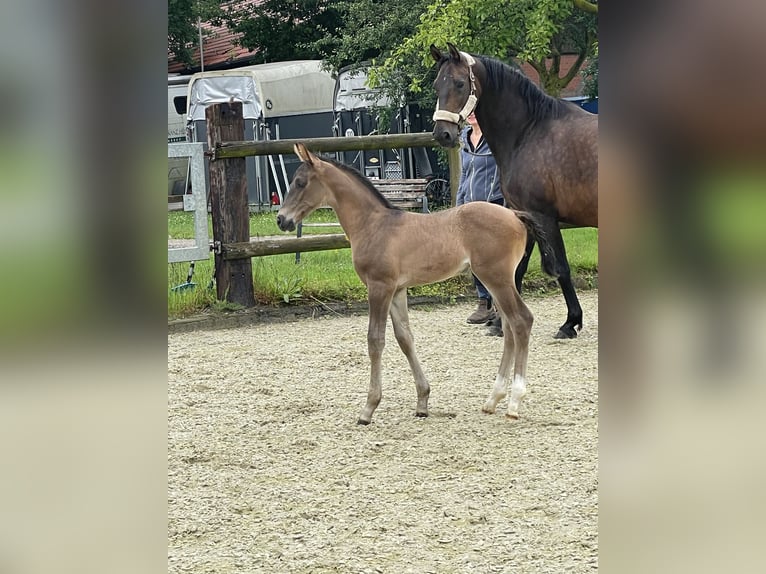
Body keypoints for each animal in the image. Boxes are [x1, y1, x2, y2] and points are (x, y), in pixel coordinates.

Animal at [280, 142, 556, 426]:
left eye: (300, 182)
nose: (281, 220)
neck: (374, 224)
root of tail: (515, 214)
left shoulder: (379, 287)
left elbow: (375, 340)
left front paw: (368, 408)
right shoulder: (397, 290)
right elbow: (405, 338)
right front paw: (422, 402)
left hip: (496, 278)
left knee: (521, 321)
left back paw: (514, 402)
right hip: (497, 281)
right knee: (510, 327)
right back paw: (492, 399)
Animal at [432, 46, 600, 342]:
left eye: (460, 83)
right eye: (435, 85)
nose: (443, 133)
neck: (529, 131)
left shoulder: (543, 216)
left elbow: (561, 268)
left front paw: (570, 322)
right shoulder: (524, 216)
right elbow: (517, 268)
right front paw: (501, 324)